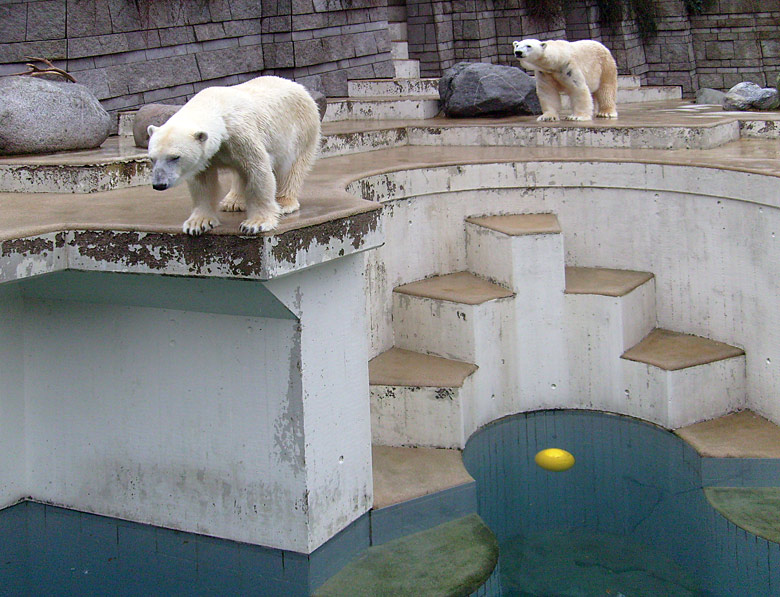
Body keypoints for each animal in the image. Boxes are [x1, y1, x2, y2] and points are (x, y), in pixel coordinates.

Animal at [146, 74, 320, 233]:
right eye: (152, 158)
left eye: (175, 157)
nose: (159, 184)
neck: (215, 106)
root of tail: (297, 85)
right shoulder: (211, 155)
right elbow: (202, 183)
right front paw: (198, 223)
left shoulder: (241, 135)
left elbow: (258, 171)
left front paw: (255, 224)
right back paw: (233, 202)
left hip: (301, 128)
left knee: (293, 167)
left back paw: (284, 203)